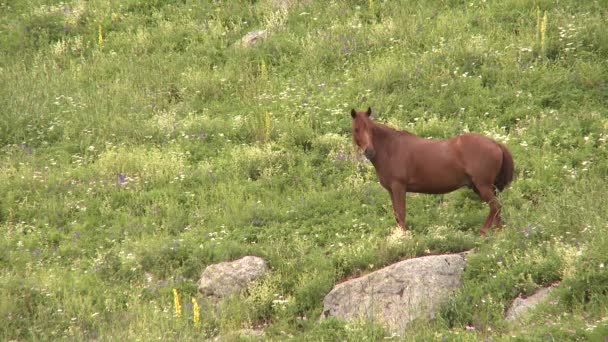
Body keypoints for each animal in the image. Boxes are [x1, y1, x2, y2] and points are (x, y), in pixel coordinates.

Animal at [352, 107, 512, 235]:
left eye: (370, 129)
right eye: (356, 129)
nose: (369, 151)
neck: (391, 148)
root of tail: (495, 143)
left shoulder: (399, 187)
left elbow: (401, 213)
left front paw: (404, 238)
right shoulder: (391, 190)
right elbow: (397, 214)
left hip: (483, 186)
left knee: (495, 206)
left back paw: (484, 231)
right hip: (485, 188)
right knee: (496, 210)